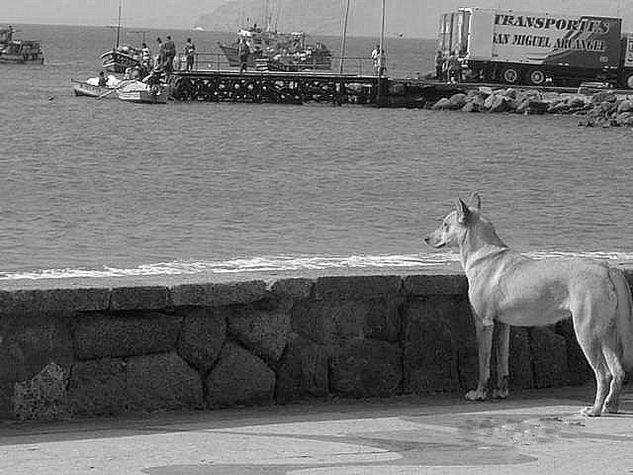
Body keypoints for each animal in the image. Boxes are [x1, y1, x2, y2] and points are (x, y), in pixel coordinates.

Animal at [424, 193, 632, 416]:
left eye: (445, 224)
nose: (426, 238)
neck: (484, 254)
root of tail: (607, 268)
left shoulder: (483, 323)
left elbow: (484, 364)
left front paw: (479, 393)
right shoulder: (502, 325)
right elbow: (502, 363)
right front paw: (501, 392)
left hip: (587, 333)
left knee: (604, 374)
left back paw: (594, 409)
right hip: (607, 334)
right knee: (618, 371)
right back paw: (611, 405)